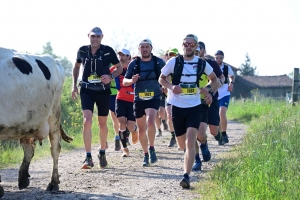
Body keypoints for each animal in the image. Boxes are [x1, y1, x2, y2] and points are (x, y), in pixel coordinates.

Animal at [0, 47, 72, 195]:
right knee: (29, 148)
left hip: (54, 114)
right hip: (27, 122)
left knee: (55, 148)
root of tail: (55, 60)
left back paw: (53, 183)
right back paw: (23, 178)